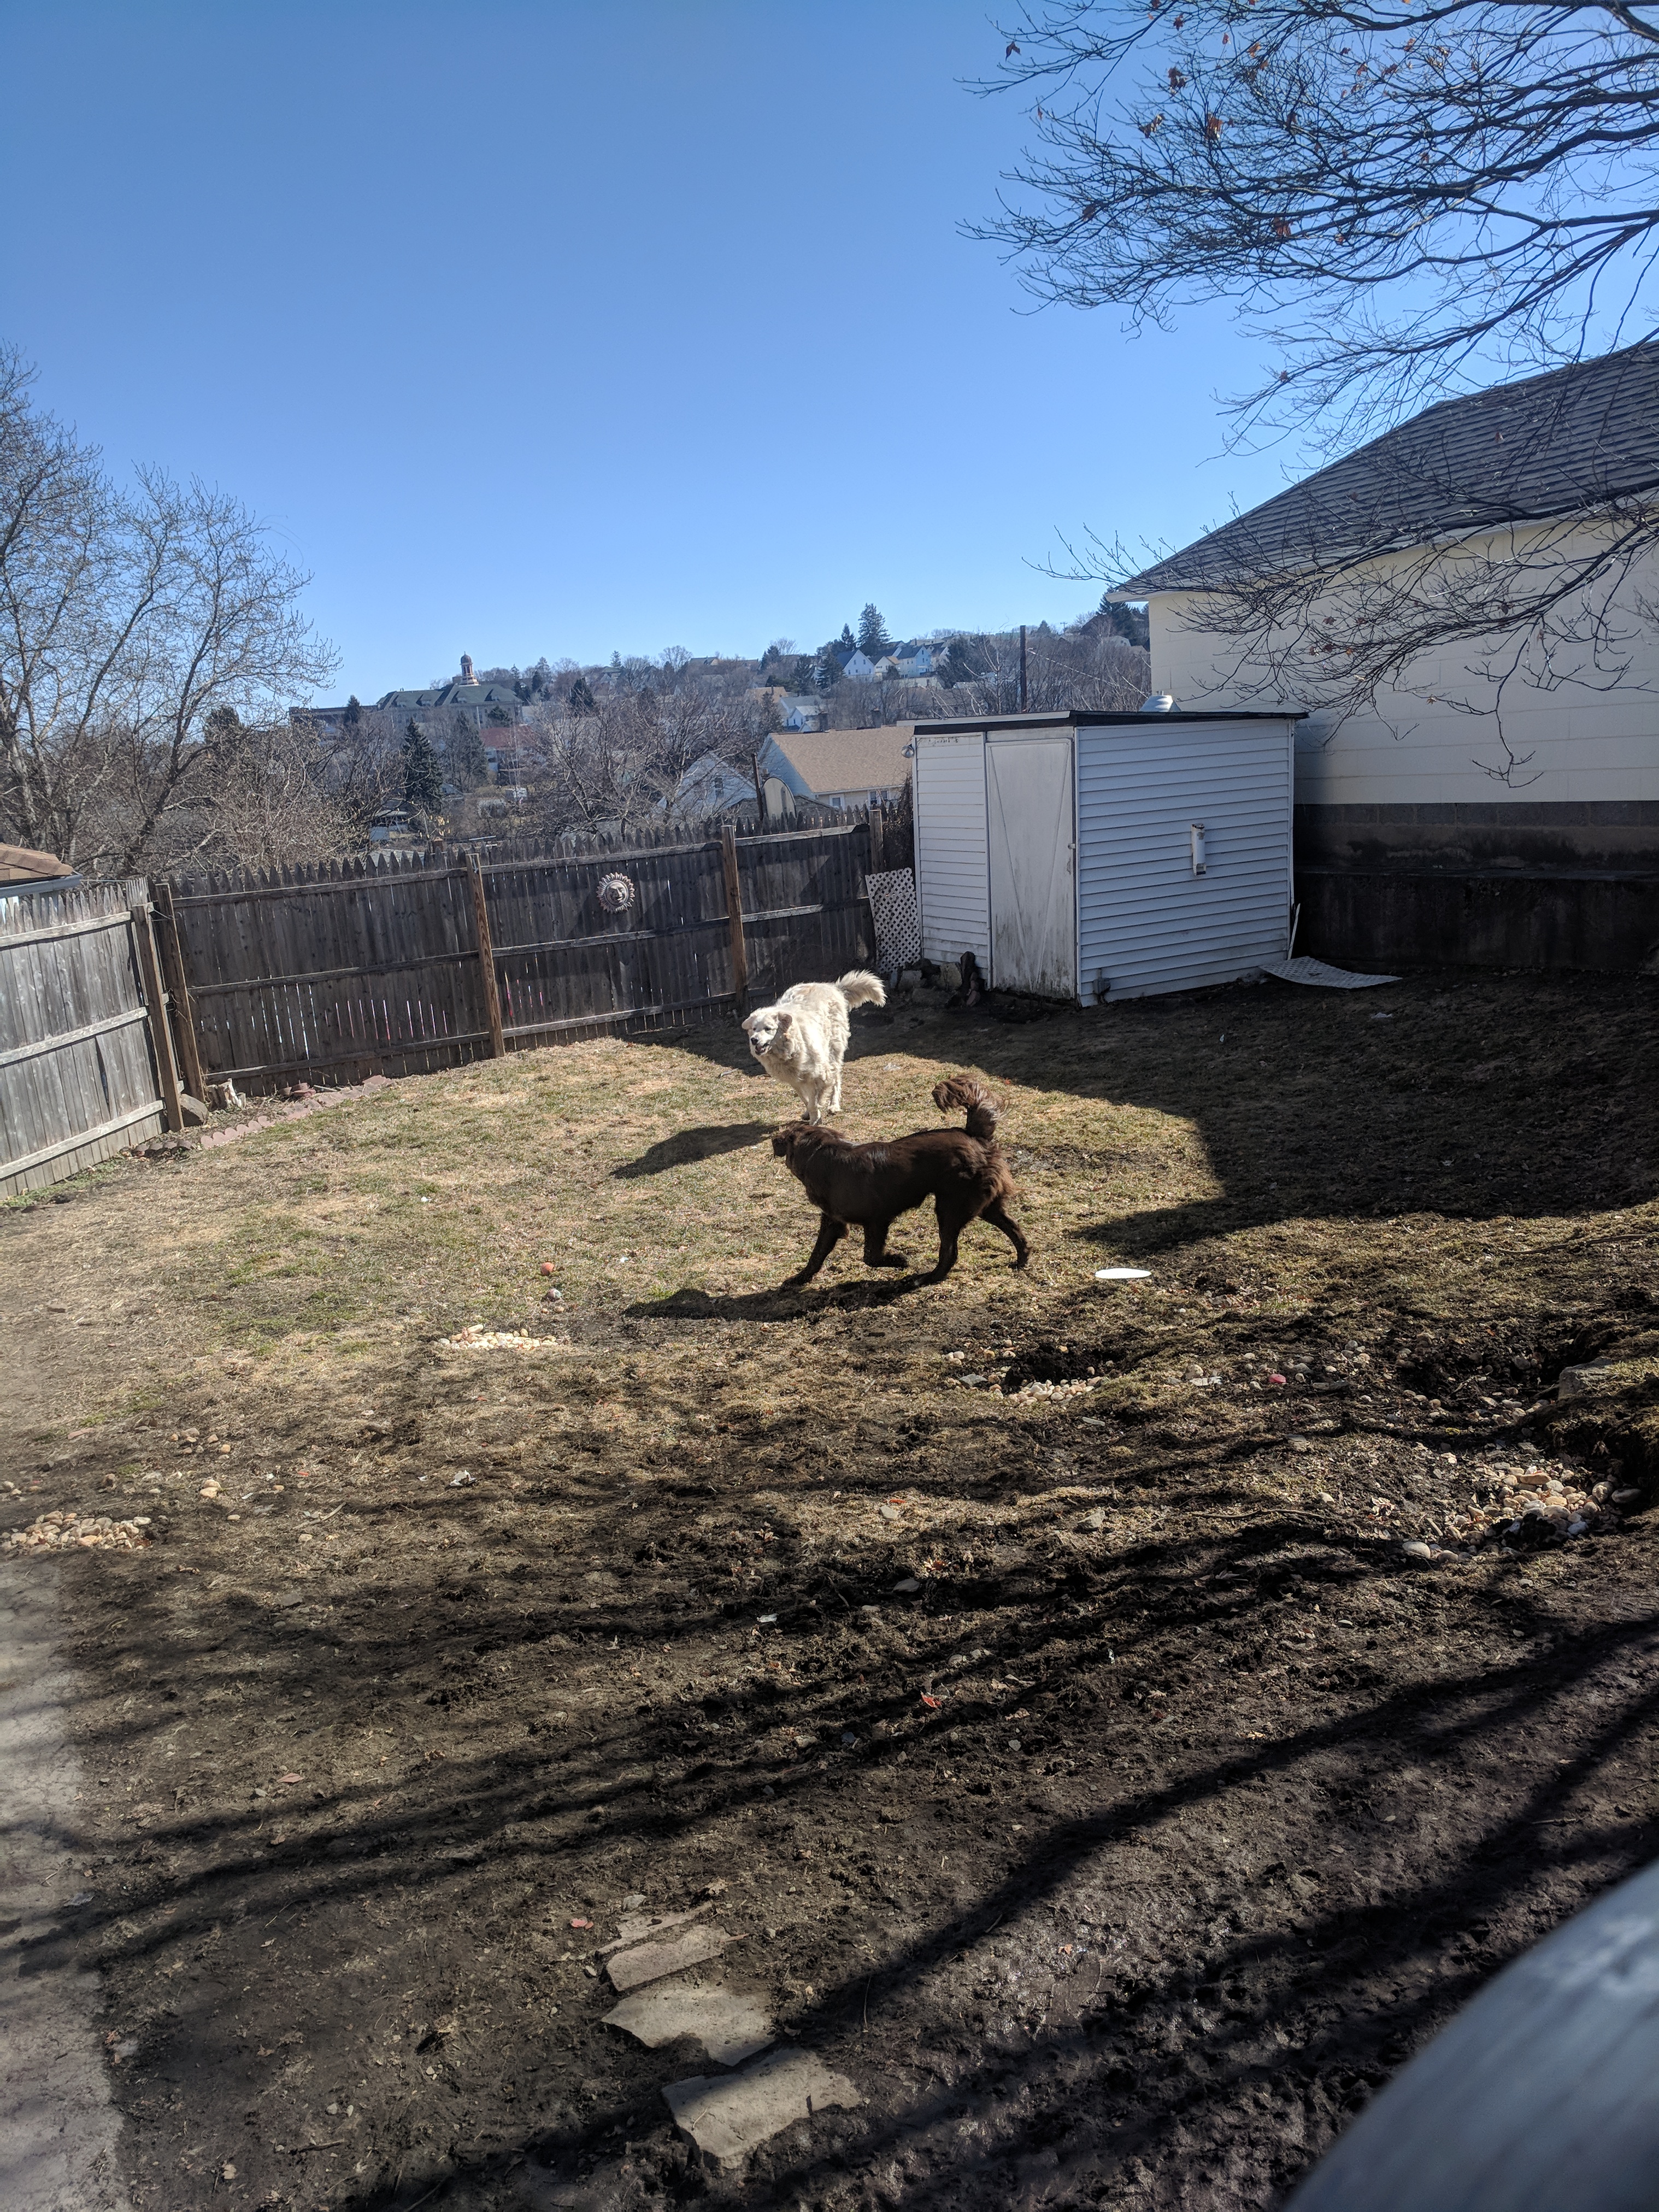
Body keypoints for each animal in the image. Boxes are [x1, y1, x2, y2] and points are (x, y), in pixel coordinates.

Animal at [748, 969, 889, 1123]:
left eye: (768, 1028)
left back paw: (834, 1105)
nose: (754, 1040)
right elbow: (805, 1099)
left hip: (834, 1051)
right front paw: (810, 1114)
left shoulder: (820, 1074)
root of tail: (833, 987)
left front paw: (816, 1119)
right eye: (754, 1029)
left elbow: (815, 1100)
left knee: (837, 1078)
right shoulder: (795, 1080)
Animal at [778, 1070, 1035, 1283]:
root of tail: (974, 1136)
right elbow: (818, 1253)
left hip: (950, 1208)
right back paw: (1021, 1261)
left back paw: (930, 1277)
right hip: (986, 1206)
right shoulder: (833, 1222)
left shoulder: (877, 1220)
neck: (824, 1156)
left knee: (950, 1252)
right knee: (1015, 1230)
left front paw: (899, 1261)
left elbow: (871, 1257)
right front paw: (800, 1278)